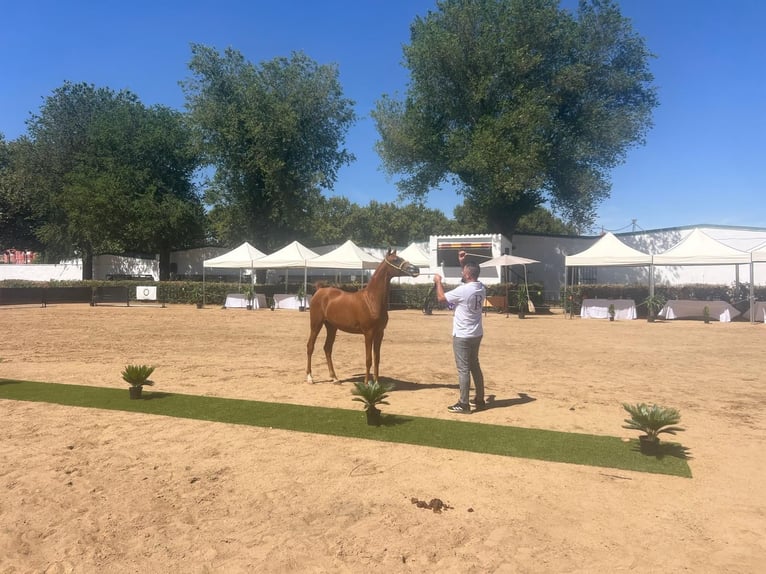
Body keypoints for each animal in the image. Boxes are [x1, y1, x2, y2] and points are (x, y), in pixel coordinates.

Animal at [306, 249, 420, 384]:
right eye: (395, 260)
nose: (416, 269)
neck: (371, 300)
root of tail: (319, 290)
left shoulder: (380, 333)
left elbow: (377, 358)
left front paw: (377, 383)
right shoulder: (368, 333)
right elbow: (368, 359)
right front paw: (366, 383)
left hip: (332, 327)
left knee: (327, 348)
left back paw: (334, 378)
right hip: (316, 324)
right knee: (310, 346)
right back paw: (310, 378)